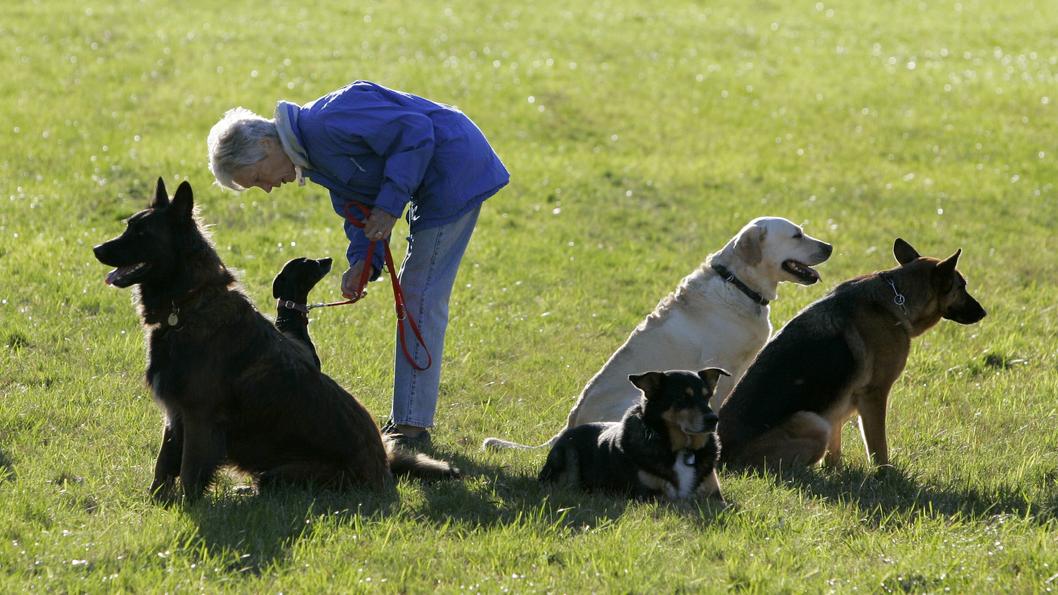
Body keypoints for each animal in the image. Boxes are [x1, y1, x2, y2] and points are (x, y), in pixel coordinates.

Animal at [90, 177, 454, 497]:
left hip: (282, 473)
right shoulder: (175, 415)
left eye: (141, 233)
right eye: (128, 226)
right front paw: (156, 503)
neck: (189, 303)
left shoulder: (198, 418)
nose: (96, 248)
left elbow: (190, 473)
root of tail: (384, 471)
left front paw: (185, 509)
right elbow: (163, 466)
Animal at [541, 366, 732, 499]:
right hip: (568, 456)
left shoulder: (714, 494)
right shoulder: (648, 495)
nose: (713, 419)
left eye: (707, 397)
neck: (682, 449)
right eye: (683, 397)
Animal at [715, 238, 986, 470]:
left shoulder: (838, 407)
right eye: (962, 286)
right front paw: (884, 474)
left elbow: (835, 449)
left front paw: (836, 469)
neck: (896, 300)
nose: (984, 312)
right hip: (813, 423)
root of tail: (721, 455)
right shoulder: (874, 394)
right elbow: (878, 445)